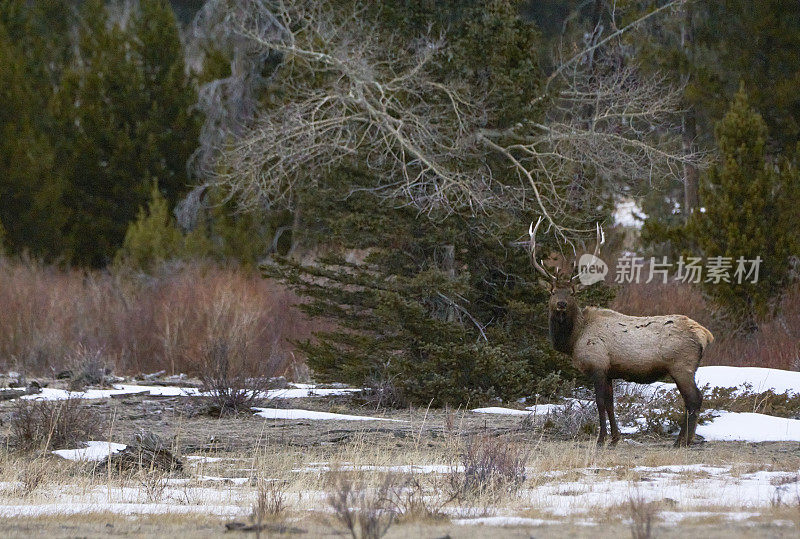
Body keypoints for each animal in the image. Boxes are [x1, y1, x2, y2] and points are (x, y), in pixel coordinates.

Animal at [532, 218, 712, 448]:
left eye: (572, 293)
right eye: (553, 292)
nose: (561, 304)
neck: (574, 339)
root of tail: (705, 335)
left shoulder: (598, 365)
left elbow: (600, 403)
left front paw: (601, 439)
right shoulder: (609, 371)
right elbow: (610, 403)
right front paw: (615, 438)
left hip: (682, 366)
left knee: (694, 399)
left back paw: (681, 441)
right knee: (694, 400)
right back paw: (686, 439)